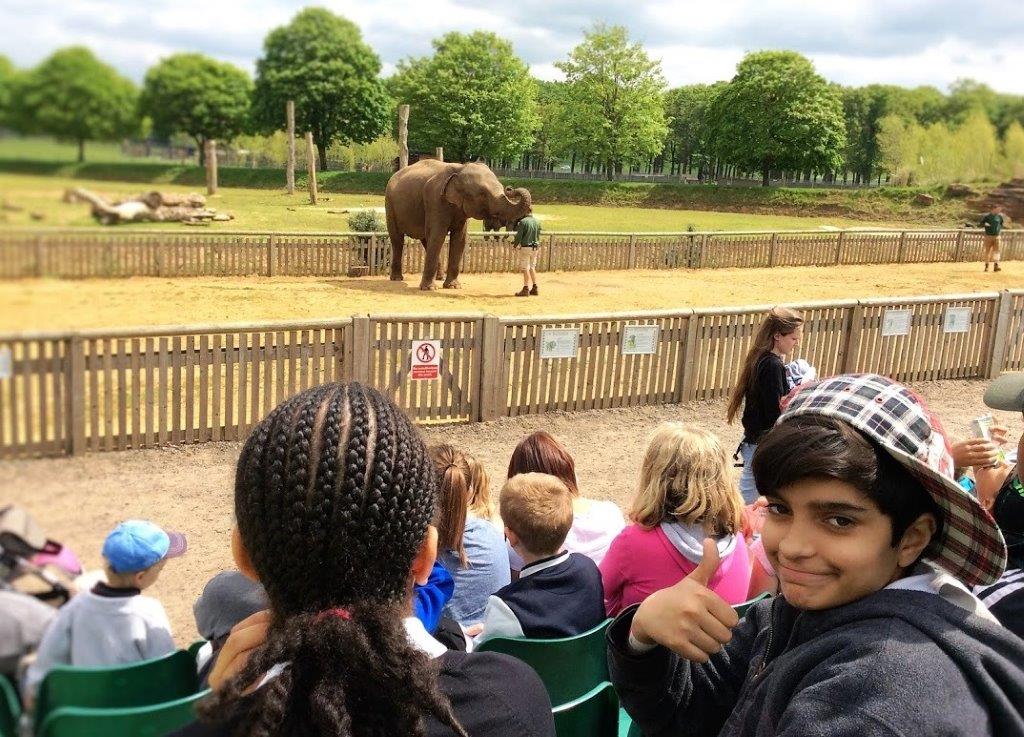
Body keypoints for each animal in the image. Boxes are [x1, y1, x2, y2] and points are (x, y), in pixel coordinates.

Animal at [380, 159, 532, 288]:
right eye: (483, 194)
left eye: (501, 187)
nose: (510, 188)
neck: (461, 168)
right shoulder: (435, 199)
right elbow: (438, 235)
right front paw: (429, 288)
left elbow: (459, 239)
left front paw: (452, 286)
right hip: (390, 204)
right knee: (398, 239)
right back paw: (397, 279)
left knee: (426, 240)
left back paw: (439, 278)